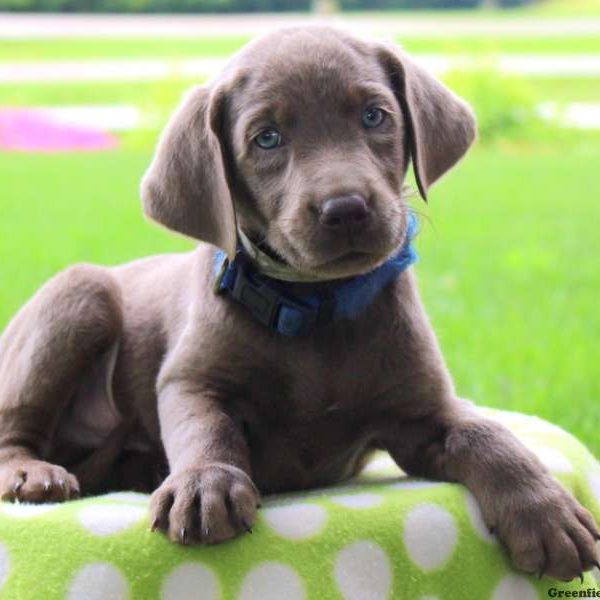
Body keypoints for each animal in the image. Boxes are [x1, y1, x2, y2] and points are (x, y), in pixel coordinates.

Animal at [1, 29, 600, 580]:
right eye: (267, 138)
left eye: (374, 116)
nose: (346, 207)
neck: (316, 307)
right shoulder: (189, 379)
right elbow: (205, 427)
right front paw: (205, 484)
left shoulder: (421, 411)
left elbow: (486, 434)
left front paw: (547, 513)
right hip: (81, 296)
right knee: (15, 427)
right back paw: (34, 474)